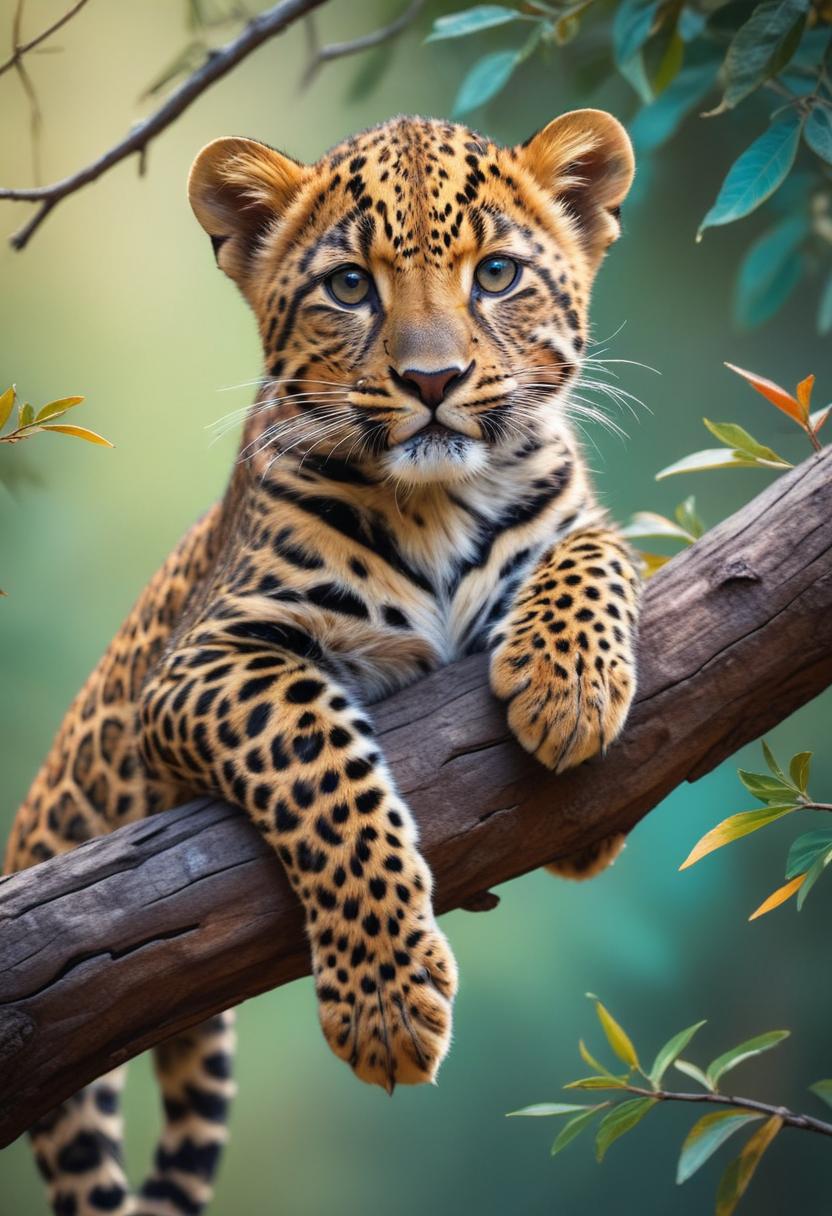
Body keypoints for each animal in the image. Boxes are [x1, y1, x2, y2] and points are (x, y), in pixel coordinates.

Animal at [5, 110, 640, 1216]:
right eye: (350, 286)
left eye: (497, 274)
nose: (431, 382)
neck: (440, 502)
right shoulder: (203, 665)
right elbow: (321, 763)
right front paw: (386, 1007)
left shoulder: (578, 522)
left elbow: (600, 550)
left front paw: (570, 691)